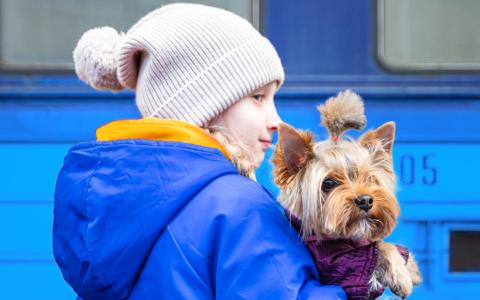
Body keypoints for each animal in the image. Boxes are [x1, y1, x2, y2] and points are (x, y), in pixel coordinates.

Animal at [274, 91, 420, 298]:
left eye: (369, 178)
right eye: (328, 183)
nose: (366, 200)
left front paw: (411, 269)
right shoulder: (339, 269)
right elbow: (379, 246)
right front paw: (402, 276)